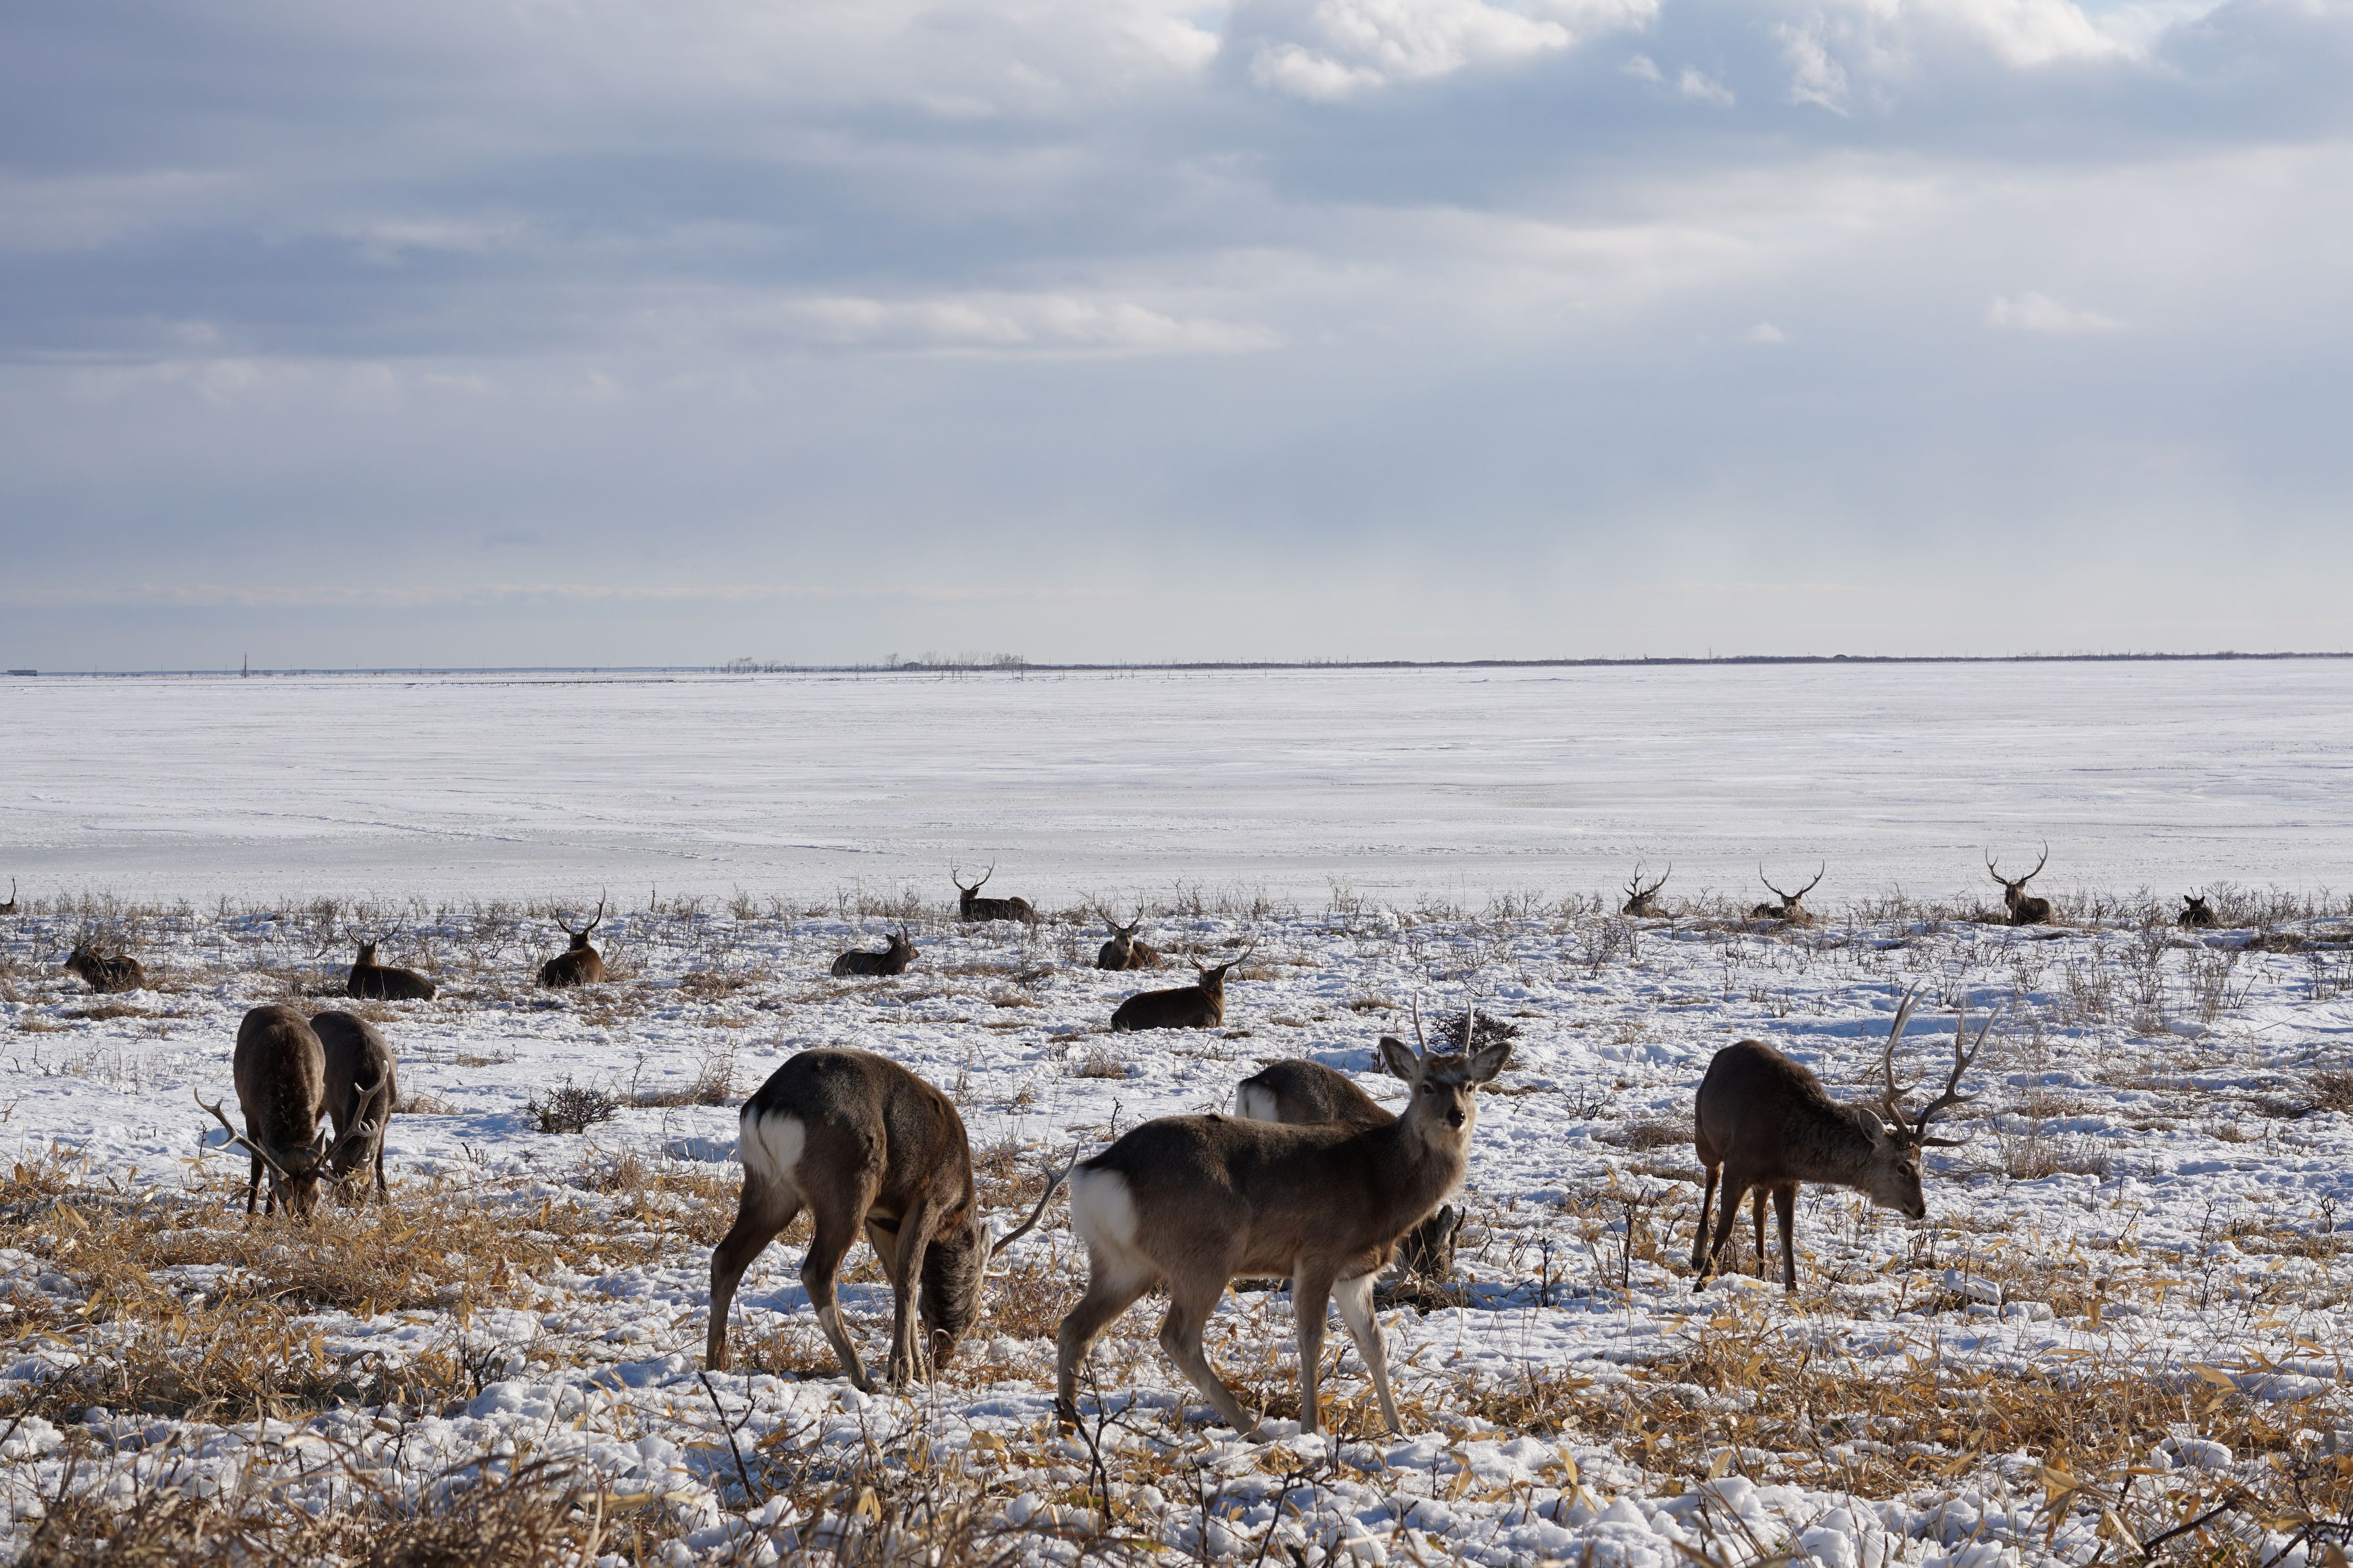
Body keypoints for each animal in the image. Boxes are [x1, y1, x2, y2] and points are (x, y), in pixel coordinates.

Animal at [198, 1005, 384, 1218]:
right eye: (285, 1197)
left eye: (317, 1195)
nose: (305, 1223)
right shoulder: (251, 1115)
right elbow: (259, 1169)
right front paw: (253, 1218)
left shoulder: (316, 1102)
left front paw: (269, 1217)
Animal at [309, 1010, 398, 1202]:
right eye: (337, 1173)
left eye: (361, 1177)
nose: (346, 1202)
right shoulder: (336, 1108)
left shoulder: (389, 1112)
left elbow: (379, 1157)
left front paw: (385, 1199)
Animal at [706, 1048, 1065, 1387]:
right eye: (976, 1312)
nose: (943, 1359)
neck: (956, 1210)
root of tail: (766, 1108)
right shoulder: (928, 1199)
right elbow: (908, 1280)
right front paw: (902, 1372)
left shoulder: (879, 1218)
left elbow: (898, 1279)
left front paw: (914, 1368)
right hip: (849, 1184)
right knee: (817, 1272)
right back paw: (863, 1376)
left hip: (770, 1189)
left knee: (726, 1258)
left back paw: (715, 1364)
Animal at [1056, 1024, 1511, 1440]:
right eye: (1426, 1085)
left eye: (1470, 1085)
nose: (1456, 1116)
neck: (1383, 1185)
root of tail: (1098, 1174)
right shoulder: (1319, 1252)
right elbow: (1312, 1338)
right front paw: (1312, 1429)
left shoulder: (1355, 1273)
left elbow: (1374, 1344)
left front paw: (1398, 1431)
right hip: (1203, 1254)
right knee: (1177, 1337)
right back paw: (1252, 1429)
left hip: (1122, 1262)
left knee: (1076, 1326)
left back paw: (1069, 1425)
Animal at [1691, 987, 1996, 1294]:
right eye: (1902, 1167)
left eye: (1923, 1168)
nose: (1920, 1210)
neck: (1782, 1145)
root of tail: (1724, 1053)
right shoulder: (1739, 1163)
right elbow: (1726, 1226)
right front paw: (1700, 1285)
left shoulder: (1787, 1179)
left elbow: (1786, 1231)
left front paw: (1792, 1289)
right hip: (1704, 1136)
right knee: (1711, 1178)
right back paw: (1698, 1255)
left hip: (1761, 1180)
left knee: (1759, 1211)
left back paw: (1762, 1271)